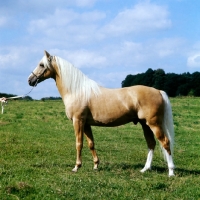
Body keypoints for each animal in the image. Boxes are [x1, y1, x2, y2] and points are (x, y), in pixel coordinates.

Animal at [28, 50, 175, 176]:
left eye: (41, 64)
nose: (30, 80)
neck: (76, 91)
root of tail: (158, 91)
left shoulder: (78, 121)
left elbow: (79, 143)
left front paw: (77, 166)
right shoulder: (86, 124)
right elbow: (91, 143)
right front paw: (95, 165)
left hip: (154, 124)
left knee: (165, 142)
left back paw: (171, 172)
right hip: (145, 124)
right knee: (151, 144)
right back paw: (145, 169)